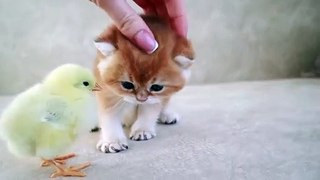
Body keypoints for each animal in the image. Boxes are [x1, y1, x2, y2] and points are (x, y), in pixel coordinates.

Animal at [92, 15, 195, 153]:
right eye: (127, 85)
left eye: (157, 87)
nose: (141, 99)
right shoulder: (107, 92)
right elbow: (109, 118)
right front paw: (112, 141)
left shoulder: (156, 98)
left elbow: (148, 111)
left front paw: (142, 130)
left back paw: (166, 115)